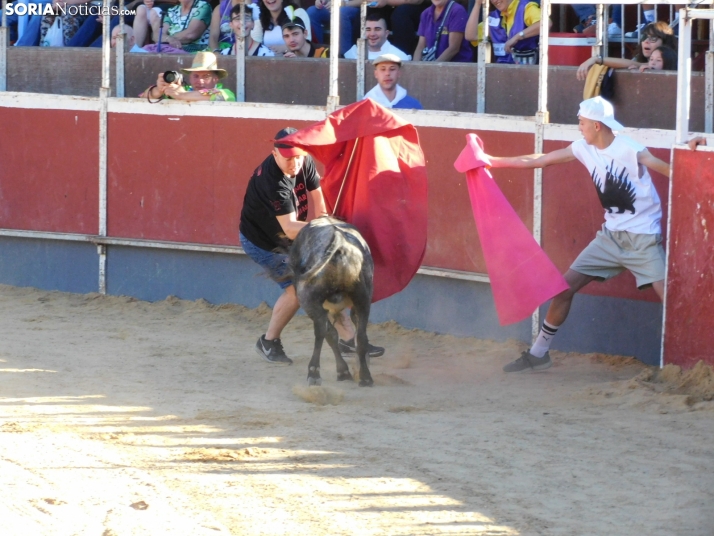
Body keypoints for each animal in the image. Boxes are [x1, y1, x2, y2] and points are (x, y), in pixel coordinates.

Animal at [286, 216, 376, 388]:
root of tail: (339, 241)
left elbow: (330, 334)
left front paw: (342, 371)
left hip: (308, 298)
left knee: (322, 329)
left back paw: (314, 372)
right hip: (363, 298)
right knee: (361, 336)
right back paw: (365, 377)